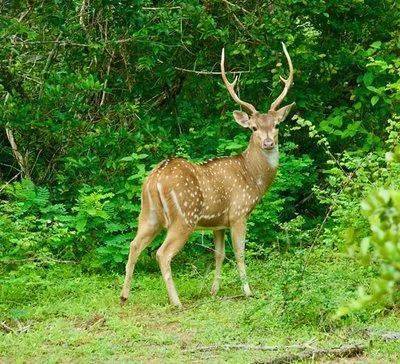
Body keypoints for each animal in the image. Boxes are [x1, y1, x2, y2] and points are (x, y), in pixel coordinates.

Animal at [120, 42, 296, 306]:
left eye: (276, 125)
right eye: (254, 128)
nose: (268, 142)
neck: (252, 177)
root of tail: (155, 179)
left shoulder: (218, 223)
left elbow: (219, 255)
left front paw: (214, 291)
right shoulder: (238, 212)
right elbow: (240, 252)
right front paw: (248, 291)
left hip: (148, 213)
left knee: (133, 245)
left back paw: (124, 296)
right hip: (184, 216)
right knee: (162, 253)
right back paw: (176, 302)